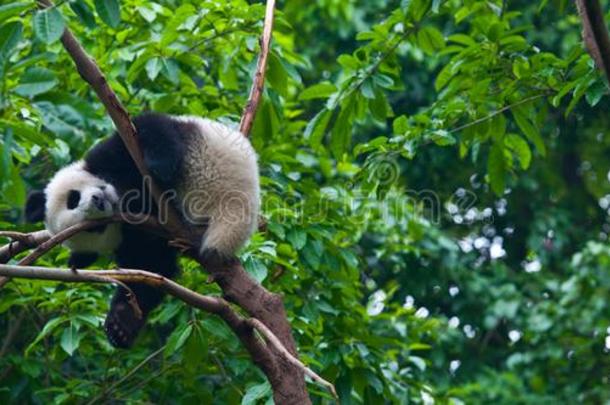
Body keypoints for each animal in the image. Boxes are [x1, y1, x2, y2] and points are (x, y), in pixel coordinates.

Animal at [25, 112, 258, 346]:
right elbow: (150, 268)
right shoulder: (136, 237)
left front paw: (159, 166)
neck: (123, 193)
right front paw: (121, 324)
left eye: (72, 199)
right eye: (94, 229)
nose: (98, 201)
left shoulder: (110, 156)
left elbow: (145, 128)